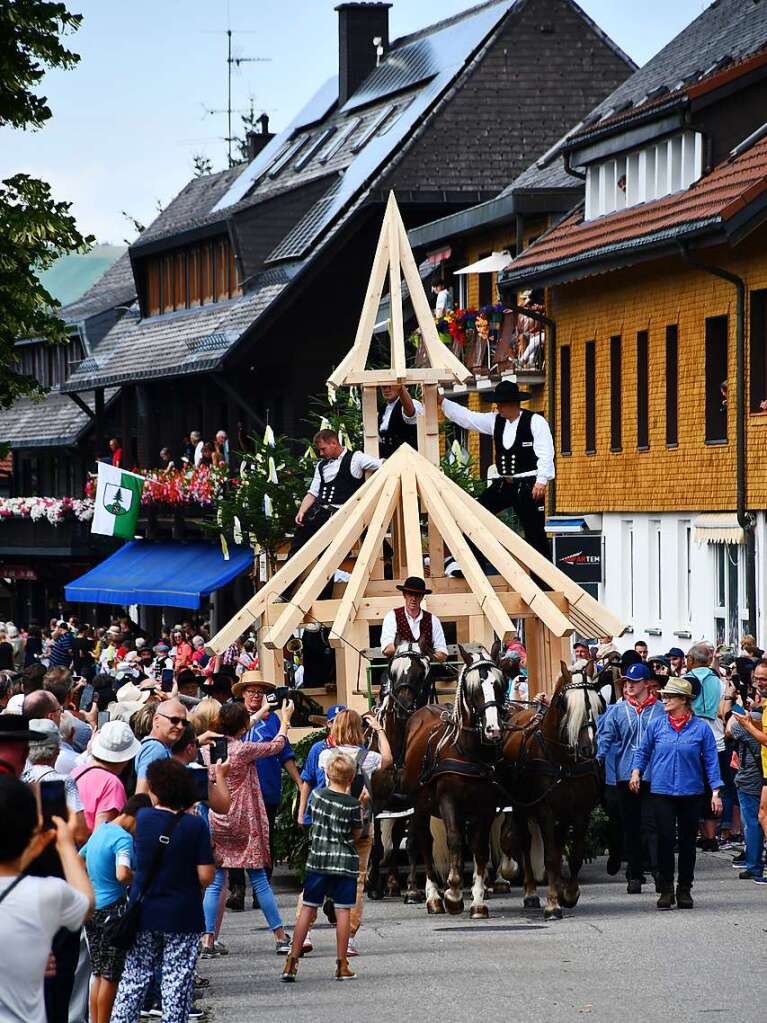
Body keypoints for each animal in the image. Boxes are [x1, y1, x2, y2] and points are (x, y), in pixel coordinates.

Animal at [366, 642, 433, 900]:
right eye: (392, 671)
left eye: (421, 672)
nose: (404, 706)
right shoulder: (376, 801)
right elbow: (376, 845)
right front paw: (372, 885)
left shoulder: (414, 801)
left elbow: (412, 841)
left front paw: (413, 888)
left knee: (396, 839)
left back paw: (395, 882)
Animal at [396, 642, 511, 916]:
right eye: (473, 689)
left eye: (500, 683)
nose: (493, 729)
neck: (468, 751)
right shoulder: (448, 800)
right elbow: (455, 841)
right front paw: (453, 893)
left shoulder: (486, 806)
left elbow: (479, 847)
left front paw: (478, 900)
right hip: (419, 804)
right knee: (423, 840)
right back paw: (432, 896)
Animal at [499, 658, 605, 924]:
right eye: (564, 703)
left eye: (598, 702)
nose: (588, 748)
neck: (563, 762)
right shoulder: (546, 812)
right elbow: (549, 857)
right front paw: (553, 904)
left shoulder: (580, 812)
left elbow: (573, 854)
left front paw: (569, 893)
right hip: (520, 808)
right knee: (525, 843)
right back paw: (530, 893)